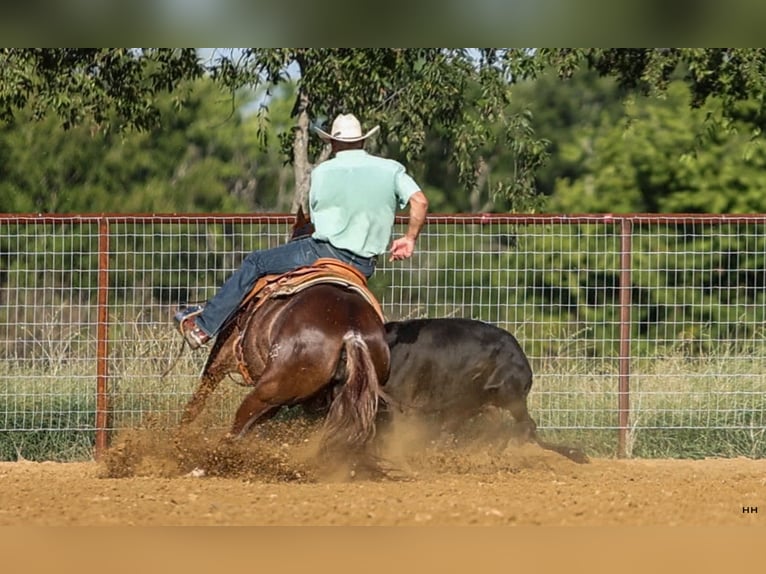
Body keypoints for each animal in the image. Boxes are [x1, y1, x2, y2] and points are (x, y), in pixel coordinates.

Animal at [178, 209, 390, 474]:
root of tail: (352, 331)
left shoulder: (221, 356)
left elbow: (196, 402)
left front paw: (177, 439)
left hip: (268, 391)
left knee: (236, 428)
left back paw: (203, 464)